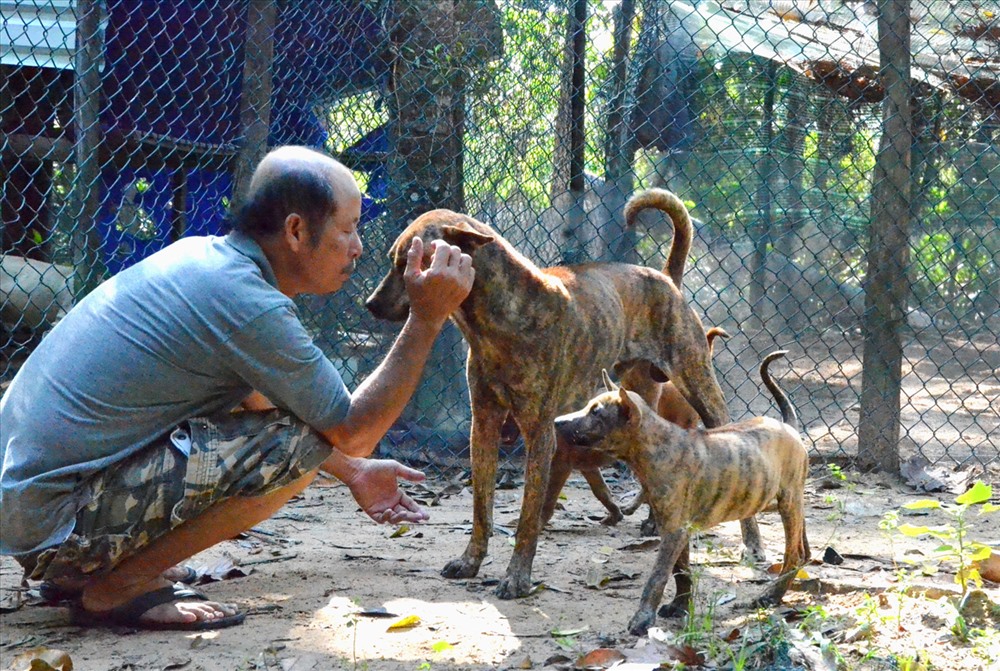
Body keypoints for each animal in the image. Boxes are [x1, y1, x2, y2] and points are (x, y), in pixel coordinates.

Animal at [370, 188, 756, 600]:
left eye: (406, 262)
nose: (370, 305)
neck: (497, 320)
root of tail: (665, 277)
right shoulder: (484, 425)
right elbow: (481, 508)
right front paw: (471, 561)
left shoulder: (540, 434)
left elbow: (528, 518)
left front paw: (517, 577)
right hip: (641, 403)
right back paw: (656, 521)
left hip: (699, 386)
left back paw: (752, 543)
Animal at [556, 352, 812, 636]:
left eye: (595, 412)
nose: (556, 422)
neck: (656, 447)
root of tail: (788, 426)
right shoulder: (677, 527)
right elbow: (681, 571)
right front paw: (680, 606)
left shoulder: (674, 530)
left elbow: (658, 577)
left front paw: (642, 618)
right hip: (787, 501)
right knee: (803, 546)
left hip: (787, 500)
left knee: (793, 555)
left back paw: (771, 595)